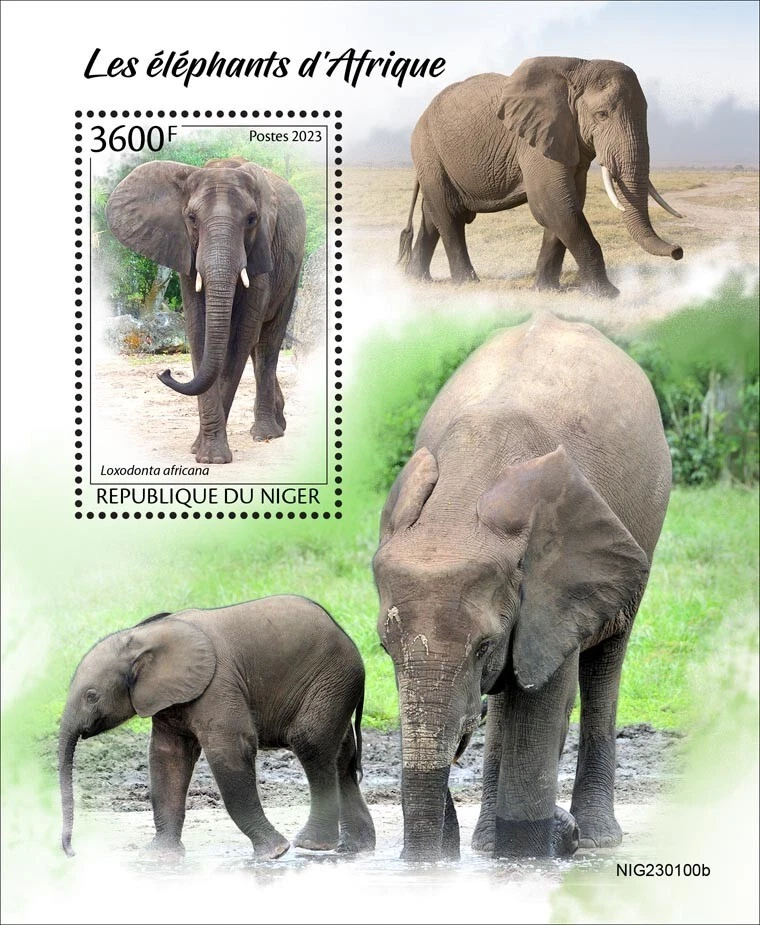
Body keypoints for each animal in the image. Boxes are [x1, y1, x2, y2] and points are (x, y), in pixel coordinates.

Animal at [59, 596, 375, 859]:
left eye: (91, 696)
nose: (72, 852)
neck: (141, 635)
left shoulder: (217, 683)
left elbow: (230, 749)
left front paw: (273, 854)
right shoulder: (169, 701)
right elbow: (168, 758)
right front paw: (159, 857)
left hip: (330, 680)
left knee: (311, 743)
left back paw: (311, 845)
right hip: (334, 687)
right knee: (341, 758)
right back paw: (356, 849)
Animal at [106, 156, 306, 463]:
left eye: (252, 219)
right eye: (191, 218)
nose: (165, 372)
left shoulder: (262, 250)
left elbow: (239, 339)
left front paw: (211, 456)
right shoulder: (185, 252)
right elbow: (198, 332)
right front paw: (201, 451)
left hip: (292, 271)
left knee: (267, 343)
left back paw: (266, 433)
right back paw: (275, 424)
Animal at [373, 313, 671, 861]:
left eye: (483, 646)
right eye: (384, 648)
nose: (423, 862)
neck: (458, 506)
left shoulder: (560, 587)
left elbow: (544, 699)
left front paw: (531, 856)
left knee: (605, 664)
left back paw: (591, 838)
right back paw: (490, 844)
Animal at [399, 58, 684, 296]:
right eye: (602, 115)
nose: (678, 251)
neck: (577, 67)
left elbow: (566, 206)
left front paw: (545, 290)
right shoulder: (534, 141)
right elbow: (552, 204)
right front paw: (607, 294)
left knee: (433, 214)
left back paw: (417, 279)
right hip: (428, 151)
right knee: (449, 215)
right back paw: (467, 283)